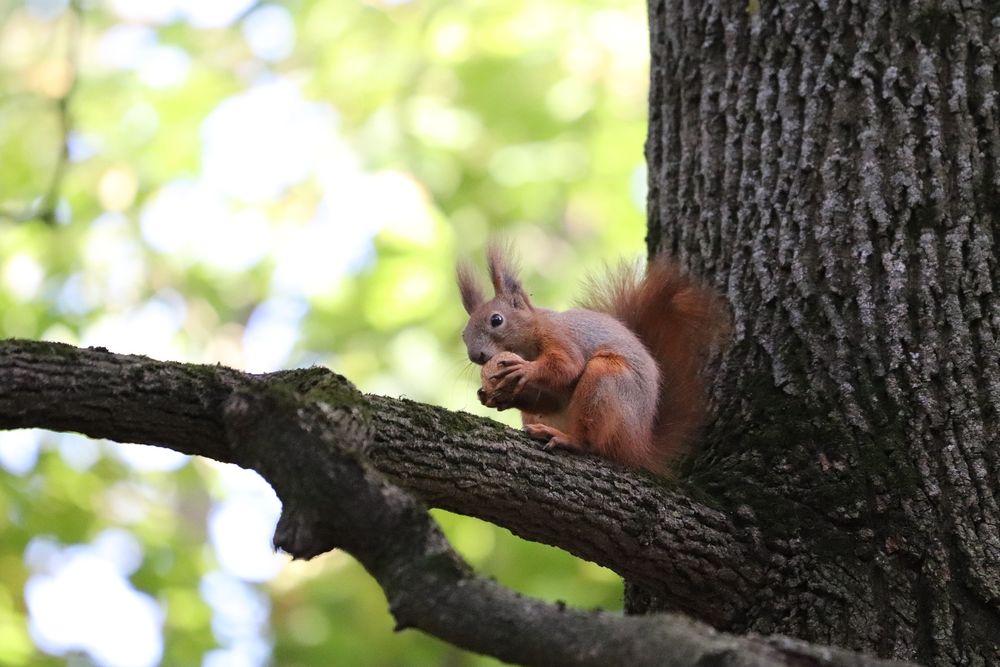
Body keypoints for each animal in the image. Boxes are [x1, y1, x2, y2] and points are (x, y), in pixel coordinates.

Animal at [457, 243, 728, 474]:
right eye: (463, 334)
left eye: (496, 320)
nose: (475, 355)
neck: (530, 341)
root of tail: (640, 445)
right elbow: (548, 400)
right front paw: (497, 396)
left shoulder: (560, 336)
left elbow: (568, 366)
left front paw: (524, 369)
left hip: (606, 381)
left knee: (591, 443)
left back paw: (568, 440)